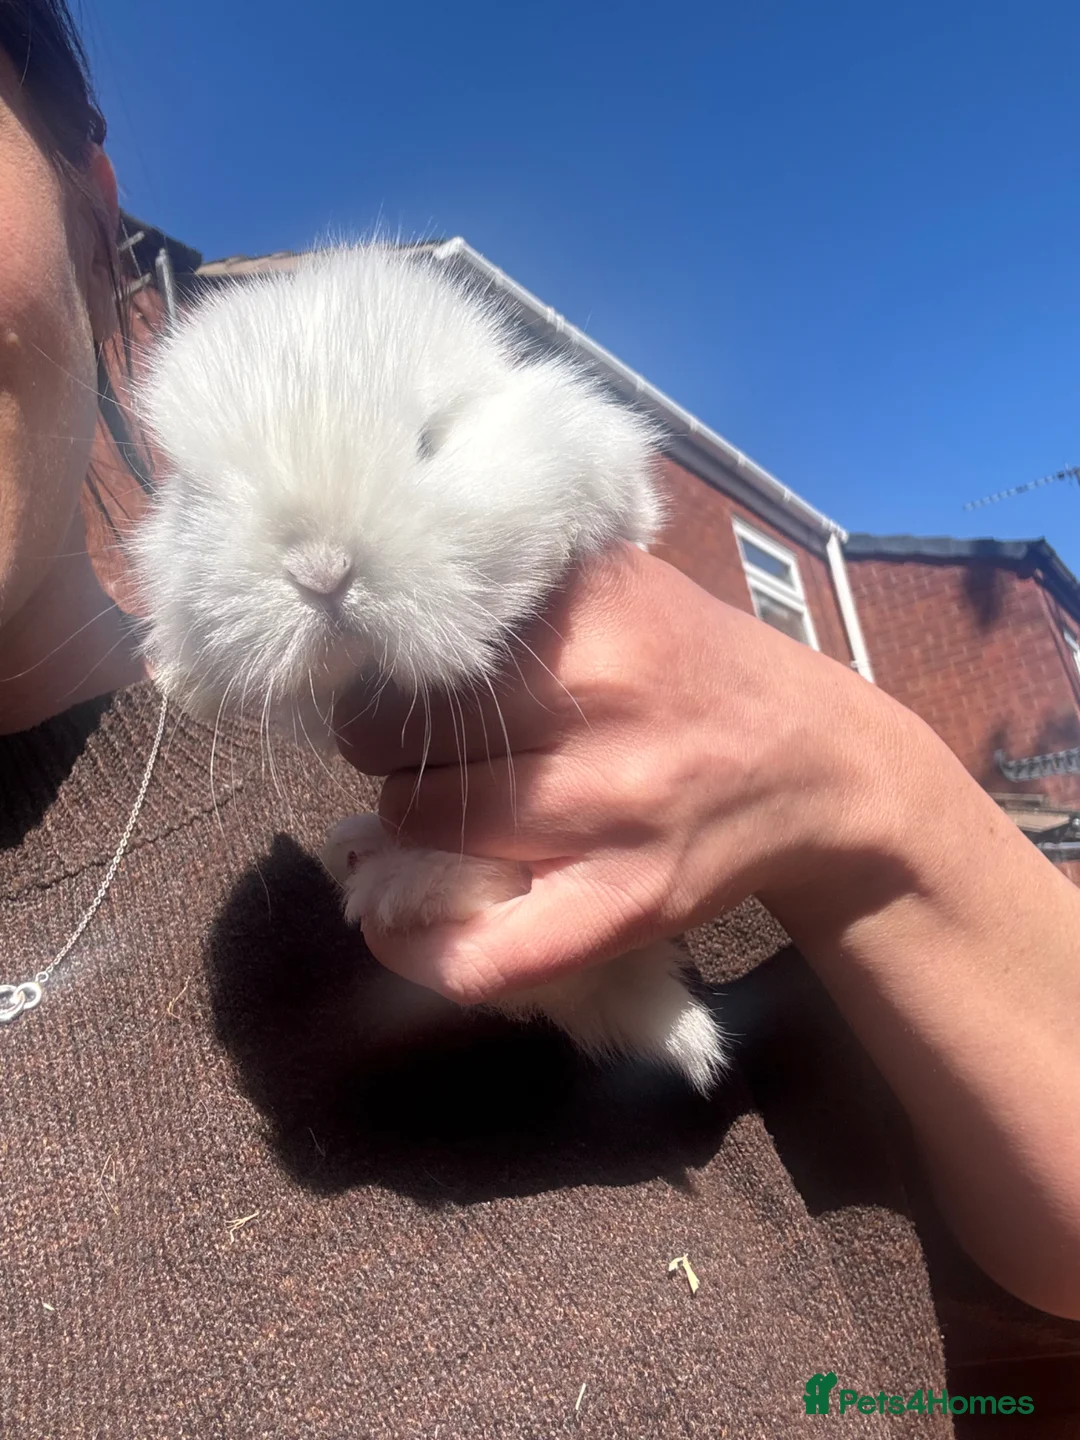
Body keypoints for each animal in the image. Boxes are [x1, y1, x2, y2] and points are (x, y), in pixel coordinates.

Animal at [131, 243, 727, 1094]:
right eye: (204, 494)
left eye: (429, 441)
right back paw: (362, 850)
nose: (322, 571)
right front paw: (178, 680)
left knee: (498, 880)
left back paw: (398, 886)